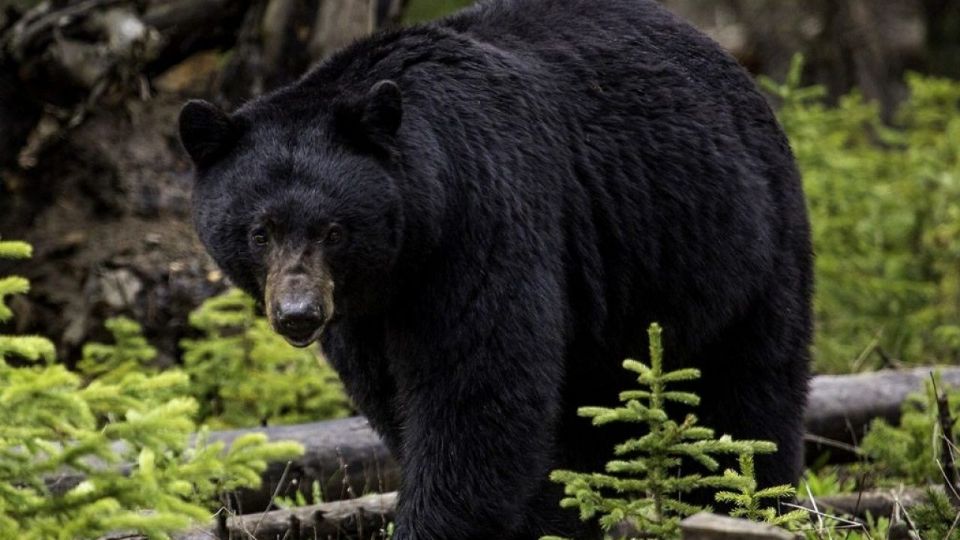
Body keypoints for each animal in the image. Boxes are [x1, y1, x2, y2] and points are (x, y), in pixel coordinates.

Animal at [178, 0, 808, 536]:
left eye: (334, 230)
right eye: (260, 232)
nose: (298, 315)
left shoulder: (483, 221)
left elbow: (476, 394)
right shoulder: (364, 313)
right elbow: (396, 399)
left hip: (737, 248)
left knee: (749, 397)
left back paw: (751, 503)